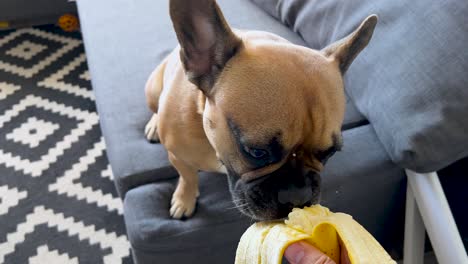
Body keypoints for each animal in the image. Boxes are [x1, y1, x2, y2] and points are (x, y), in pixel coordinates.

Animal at [144, 0, 378, 220]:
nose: (297, 197)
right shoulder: (178, 156)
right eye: (256, 152)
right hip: (152, 89)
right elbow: (187, 177)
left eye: (329, 153)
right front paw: (184, 199)